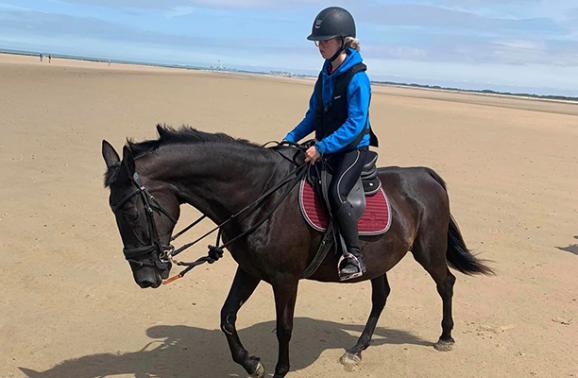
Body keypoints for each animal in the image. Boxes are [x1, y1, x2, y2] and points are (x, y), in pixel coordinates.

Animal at [100, 125, 490, 376]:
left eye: (131, 211)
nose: (145, 276)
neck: (262, 195)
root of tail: (425, 175)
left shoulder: (285, 279)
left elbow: (283, 328)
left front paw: (277, 370)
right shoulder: (251, 271)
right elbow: (227, 317)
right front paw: (251, 363)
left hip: (428, 248)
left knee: (446, 283)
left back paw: (445, 336)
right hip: (378, 260)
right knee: (381, 296)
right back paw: (357, 350)